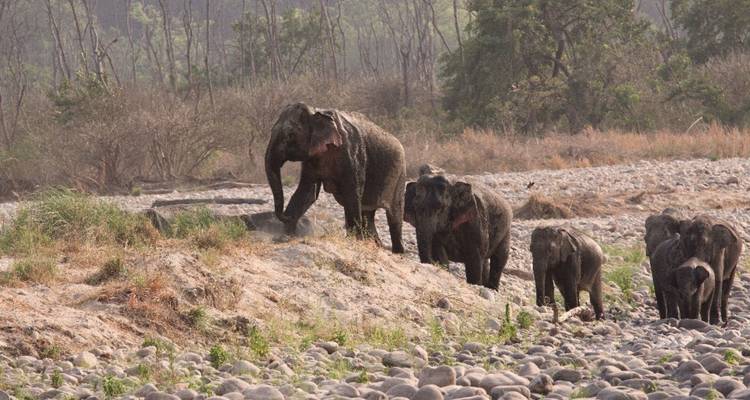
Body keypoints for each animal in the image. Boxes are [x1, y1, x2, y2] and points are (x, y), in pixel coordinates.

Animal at [265, 103, 406, 253]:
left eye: (290, 135)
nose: (285, 216)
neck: (316, 112)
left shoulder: (352, 155)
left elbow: (352, 192)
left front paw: (354, 241)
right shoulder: (312, 158)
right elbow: (307, 192)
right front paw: (283, 237)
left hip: (400, 176)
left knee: (394, 214)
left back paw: (398, 252)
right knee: (368, 214)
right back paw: (376, 245)